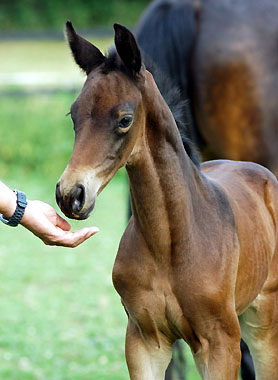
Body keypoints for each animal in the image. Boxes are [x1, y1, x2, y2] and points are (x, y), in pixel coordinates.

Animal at [56, 23, 278, 380]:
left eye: (125, 119)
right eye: (73, 115)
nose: (70, 194)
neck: (169, 244)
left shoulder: (221, 344)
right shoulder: (145, 340)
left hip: (263, 323)